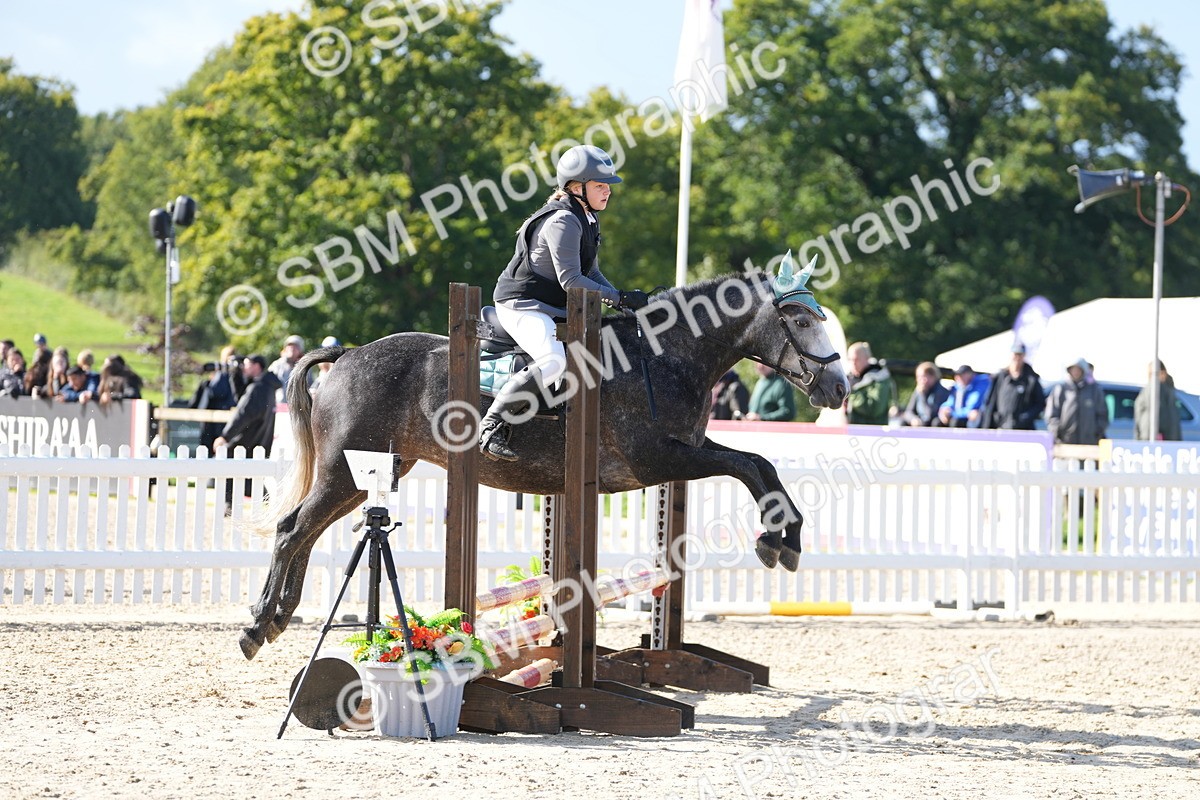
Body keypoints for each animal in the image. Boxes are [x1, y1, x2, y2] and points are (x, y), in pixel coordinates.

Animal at [240, 256, 848, 659]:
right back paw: (259, 625)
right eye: (800, 321)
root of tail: (347, 355)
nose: (839, 388)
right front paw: (778, 540)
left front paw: (785, 539)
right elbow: (748, 465)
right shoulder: (657, 461)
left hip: (374, 470)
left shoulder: (687, 452)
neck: (664, 354)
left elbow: (760, 463)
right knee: (294, 528)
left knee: (306, 531)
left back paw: (279, 615)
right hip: (346, 470)